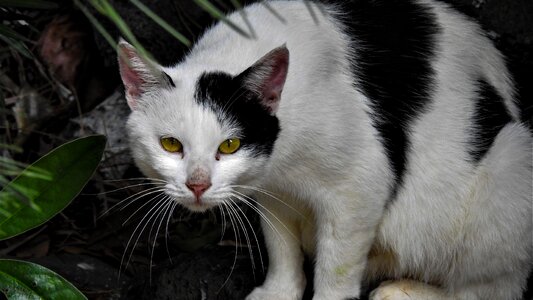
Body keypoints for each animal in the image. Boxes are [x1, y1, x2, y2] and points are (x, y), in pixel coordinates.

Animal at [117, 1, 532, 298]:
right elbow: (280, 244)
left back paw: (403, 291)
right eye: (171, 144)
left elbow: (337, 267)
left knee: (492, 289)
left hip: (510, 162)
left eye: (230, 145)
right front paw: (279, 292)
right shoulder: (274, 188)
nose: (198, 185)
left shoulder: (359, 186)